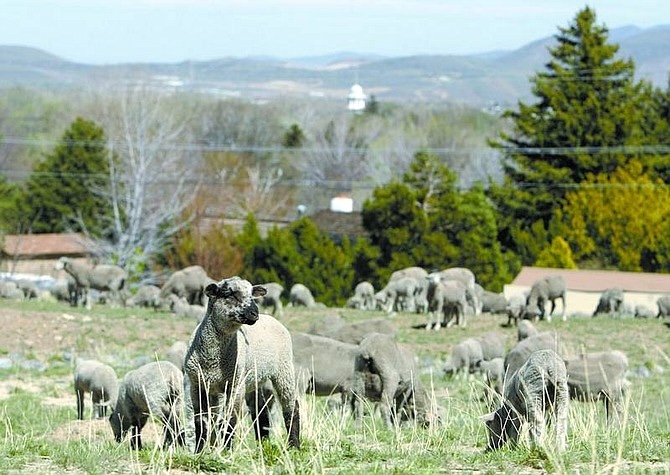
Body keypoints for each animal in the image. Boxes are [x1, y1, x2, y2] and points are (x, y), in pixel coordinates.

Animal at [183, 277, 300, 452]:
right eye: (229, 294)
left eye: (252, 294)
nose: (254, 313)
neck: (213, 359)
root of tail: (270, 318)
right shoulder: (198, 385)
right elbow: (201, 421)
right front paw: (200, 451)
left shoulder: (235, 384)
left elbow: (229, 420)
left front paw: (226, 451)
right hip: (253, 379)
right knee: (260, 411)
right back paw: (263, 445)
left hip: (283, 368)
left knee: (291, 406)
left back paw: (294, 446)